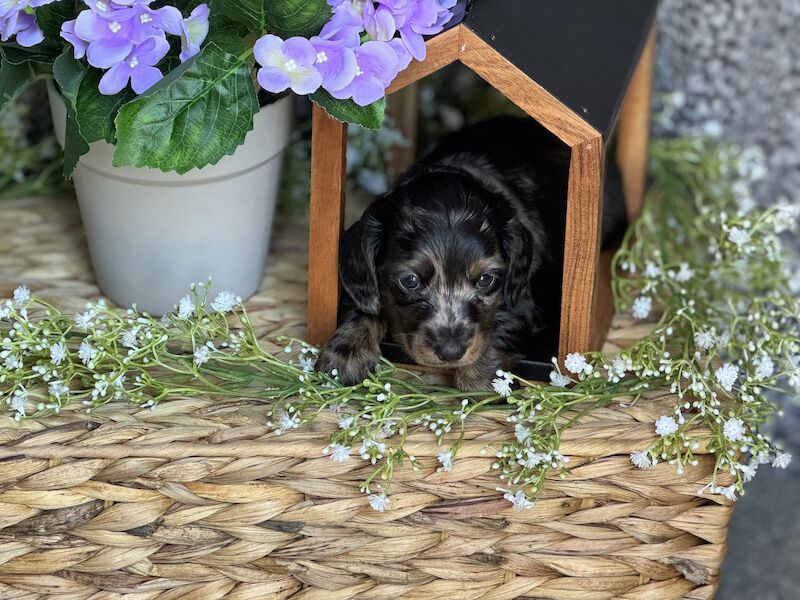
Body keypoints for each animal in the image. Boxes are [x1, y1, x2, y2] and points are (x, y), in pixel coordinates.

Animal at [314, 115, 624, 392]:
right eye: (410, 281)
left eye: (486, 279)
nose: (451, 352)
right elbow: (363, 304)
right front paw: (346, 353)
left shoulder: (522, 300)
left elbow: (499, 325)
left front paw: (484, 378)